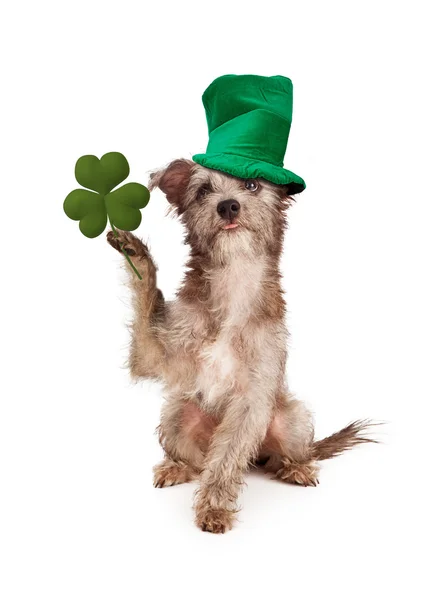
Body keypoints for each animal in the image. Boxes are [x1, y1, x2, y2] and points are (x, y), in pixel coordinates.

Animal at [108, 159, 374, 536]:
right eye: (203, 190)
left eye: (251, 185)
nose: (228, 206)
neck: (234, 280)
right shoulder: (155, 355)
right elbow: (145, 302)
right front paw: (136, 254)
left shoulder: (253, 399)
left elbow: (225, 460)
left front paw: (214, 508)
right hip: (177, 413)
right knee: (196, 459)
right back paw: (177, 466)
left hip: (291, 420)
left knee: (287, 455)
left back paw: (296, 468)